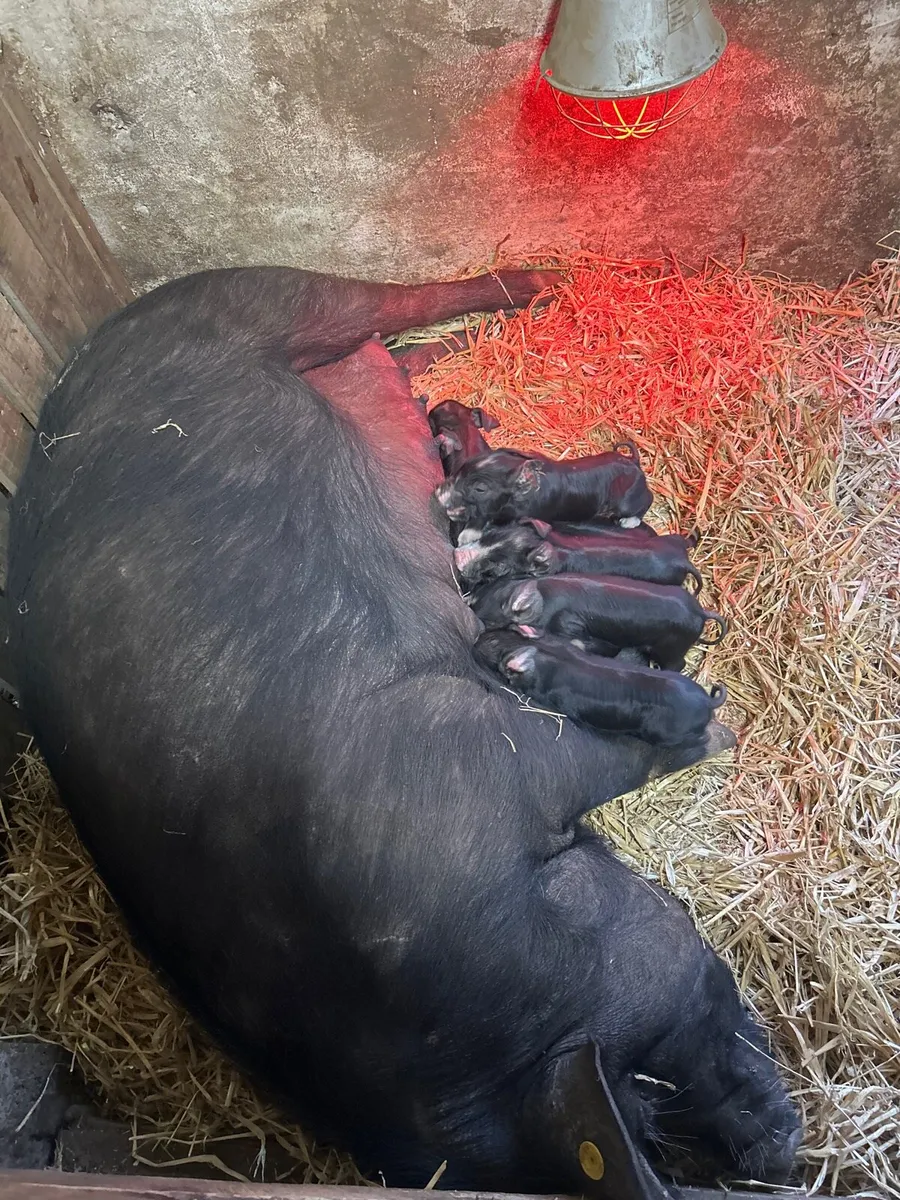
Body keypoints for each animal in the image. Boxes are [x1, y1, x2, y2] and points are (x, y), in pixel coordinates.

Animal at [435, 443, 652, 530]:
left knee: (647, 500)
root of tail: (634, 462)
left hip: (629, 501)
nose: (438, 492)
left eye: (480, 489)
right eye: (464, 466)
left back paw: (627, 523)